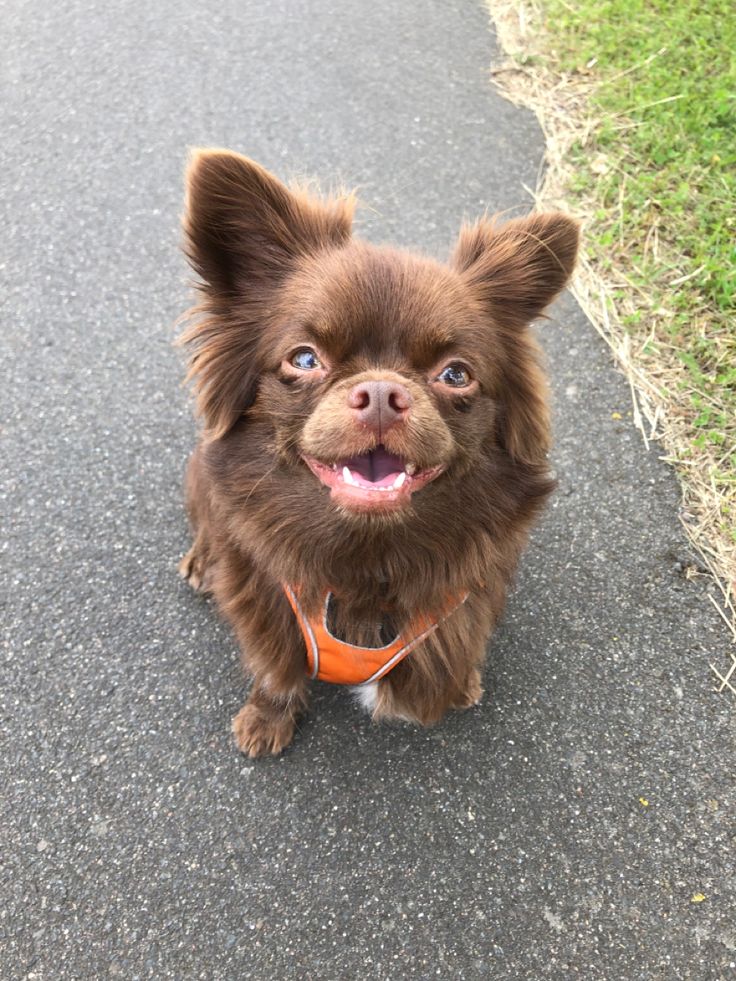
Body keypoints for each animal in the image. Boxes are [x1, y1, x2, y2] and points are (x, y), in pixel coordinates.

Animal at [178, 147, 580, 756]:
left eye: (456, 374)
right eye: (304, 359)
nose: (383, 395)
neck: (366, 563)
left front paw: (463, 683)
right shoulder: (269, 607)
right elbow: (276, 671)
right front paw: (268, 718)